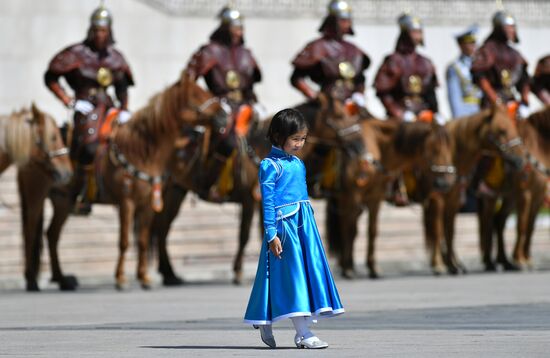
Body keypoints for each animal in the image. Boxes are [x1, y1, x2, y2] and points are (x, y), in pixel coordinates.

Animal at [16, 70, 226, 290]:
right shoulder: (127, 203)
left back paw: (62, 279)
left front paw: (144, 277)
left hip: (62, 201)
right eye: (195, 96)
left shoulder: (147, 205)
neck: (142, 152)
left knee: (51, 235)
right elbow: (124, 241)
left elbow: (142, 240)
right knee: (30, 233)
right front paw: (121, 278)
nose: (223, 116)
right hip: (35, 196)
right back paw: (32, 280)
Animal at [150, 94, 370, 286]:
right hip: (171, 190)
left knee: (163, 228)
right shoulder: (251, 198)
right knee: (162, 228)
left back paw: (169, 273)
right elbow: (245, 234)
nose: (360, 145)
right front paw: (238, 271)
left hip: (177, 189)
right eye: (339, 116)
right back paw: (167, 273)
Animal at [328, 119, 458, 278]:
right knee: (346, 226)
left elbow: (372, 230)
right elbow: (351, 229)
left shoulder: (375, 197)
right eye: (435, 149)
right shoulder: (353, 195)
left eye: (451, 148)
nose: (447, 182)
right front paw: (348, 269)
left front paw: (372, 267)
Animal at [424, 103, 528, 274]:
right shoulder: (438, 198)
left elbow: (450, 230)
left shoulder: (454, 198)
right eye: (502, 130)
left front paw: (452, 265)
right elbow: (439, 230)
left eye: (514, 128)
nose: (520, 160)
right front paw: (441, 265)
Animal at [480, 106, 548, 272]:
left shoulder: (538, 194)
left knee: (498, 220)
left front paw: (526, 258)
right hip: (492, 195)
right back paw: (489, 261)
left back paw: (504, 260)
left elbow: (530, 227)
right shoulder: (525, 193)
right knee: (487, 221)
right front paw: (520, 259)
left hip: (509, 196)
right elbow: (521, 225)